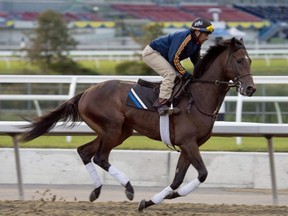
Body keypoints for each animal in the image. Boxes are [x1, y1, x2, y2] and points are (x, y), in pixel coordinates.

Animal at [19, 37, 255, 211]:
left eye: (250, 60)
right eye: (239, 60)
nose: (250, 89)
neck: (199, 98)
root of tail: (86, 92)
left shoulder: (188, 146)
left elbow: (178, 178)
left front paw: (155, 200)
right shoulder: (188, 143)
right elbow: (202, 174)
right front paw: (158, 198)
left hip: (119, 131)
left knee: (85, 151)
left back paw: (96, 191)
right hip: (112, 129)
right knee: (100, 157)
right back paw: (129, 188)